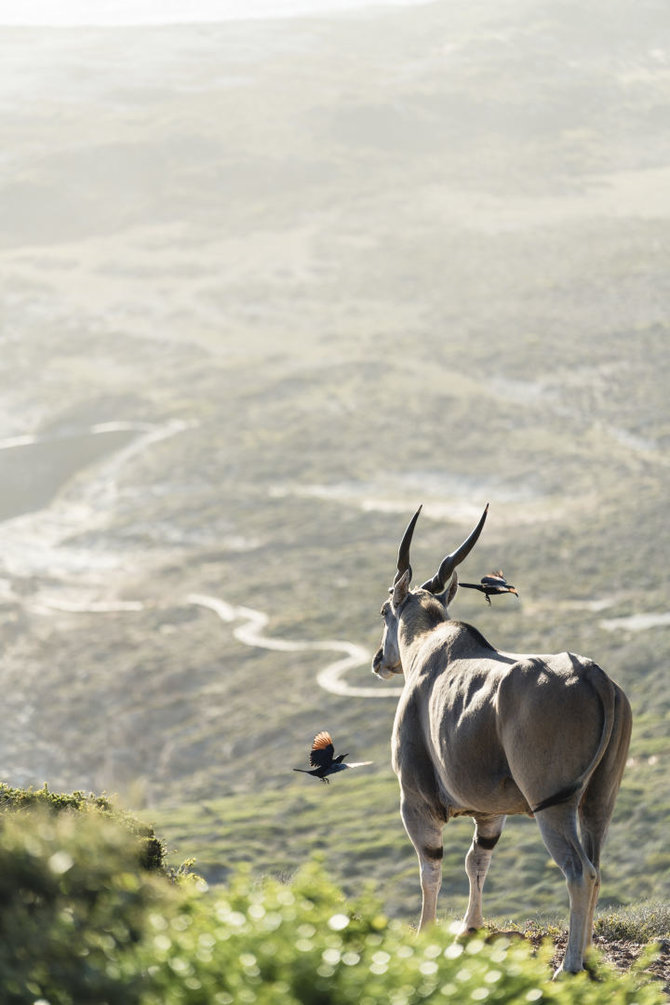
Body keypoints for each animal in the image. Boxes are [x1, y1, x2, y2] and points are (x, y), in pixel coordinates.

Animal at [371, 506, 634, 976]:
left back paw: (568, 965)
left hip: (553, 805)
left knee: (579, 870)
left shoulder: (415, 801)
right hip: (598, 801)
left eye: (385, 609)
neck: (428, 648)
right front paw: (469, 927)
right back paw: (588, 957)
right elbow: (477, 860)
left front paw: (425, 934)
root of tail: (597, 679)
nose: (379, 661)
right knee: (597, 866)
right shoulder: (491, 814)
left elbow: (431, 868)